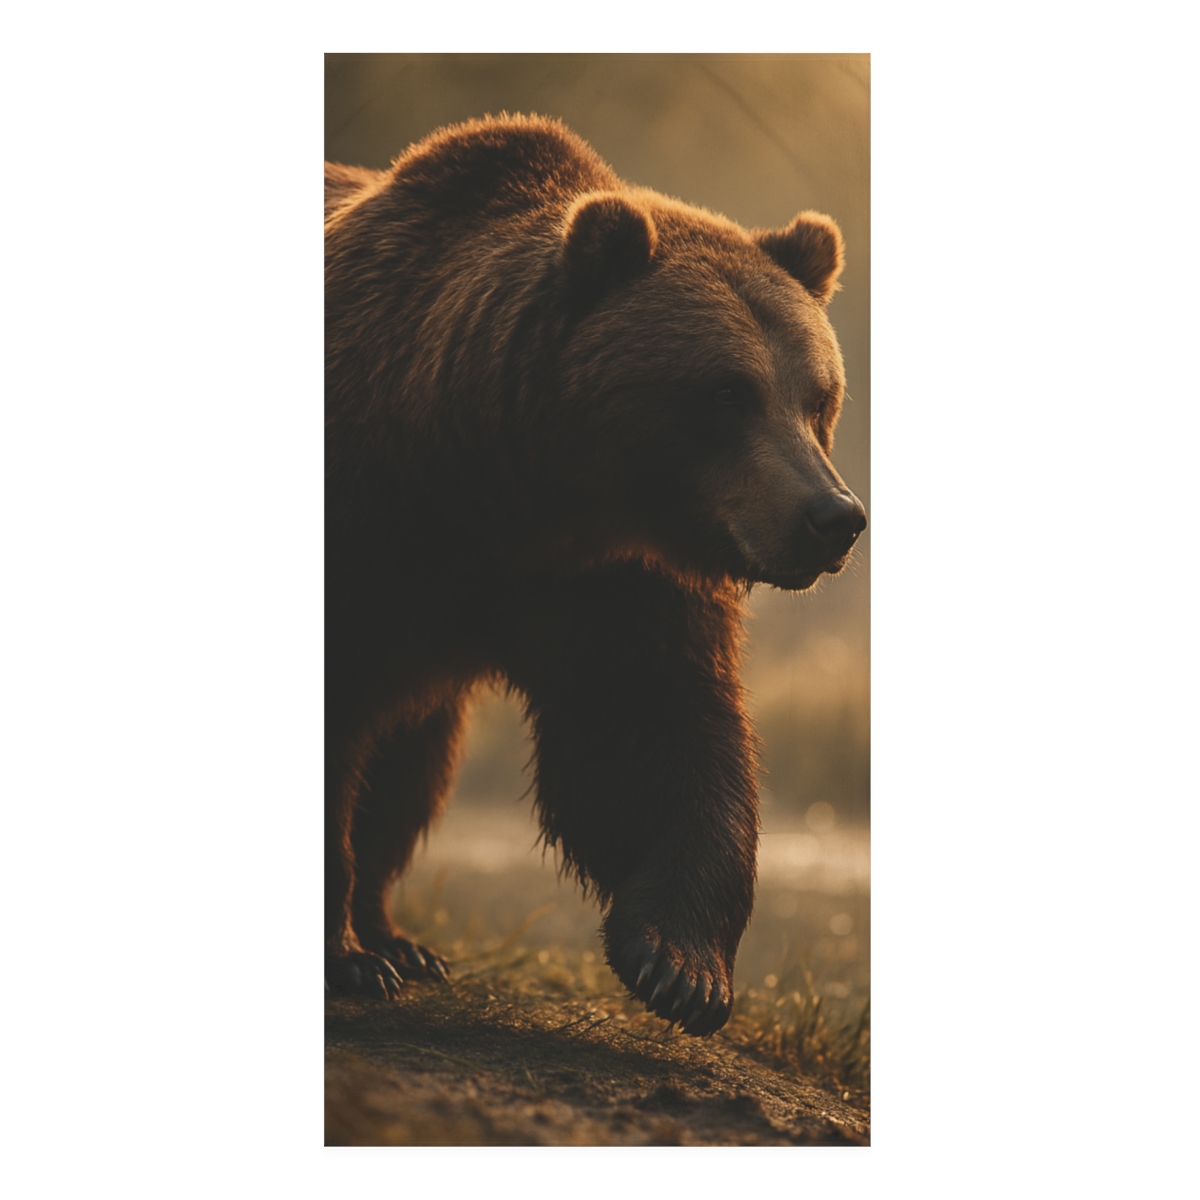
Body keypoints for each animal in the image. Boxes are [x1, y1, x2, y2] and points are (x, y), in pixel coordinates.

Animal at [324, 115, 865, 1036]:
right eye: (728, 391)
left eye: (818, 396)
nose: (832, 518)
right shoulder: (373, 524)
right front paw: (344, 961)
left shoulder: (613, 580)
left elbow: (647, 729)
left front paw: (681, 966)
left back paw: (398, 940)